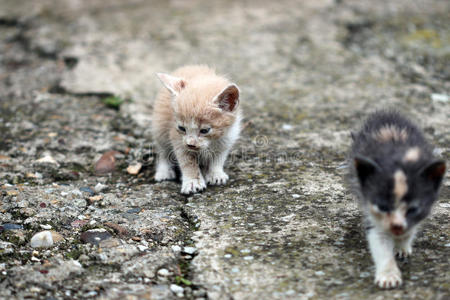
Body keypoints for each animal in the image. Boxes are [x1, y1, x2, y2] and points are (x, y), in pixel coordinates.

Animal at [150, 65, 243, 195]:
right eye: (182, 128)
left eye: (204, 130)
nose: (191, 144)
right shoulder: (177, 138)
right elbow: (188, 163)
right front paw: (193, 182)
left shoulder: (227, 138)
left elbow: (218, 158)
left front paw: (216, 174)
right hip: (160, 128)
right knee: (162, 151)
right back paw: (164, 171)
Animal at [350, 110, 444, 288]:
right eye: (383, 207)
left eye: (413, 209)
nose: (396, 226)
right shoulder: (372, 210)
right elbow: (380, 241)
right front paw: (388, 276)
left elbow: (409, 231)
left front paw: (402, 246)